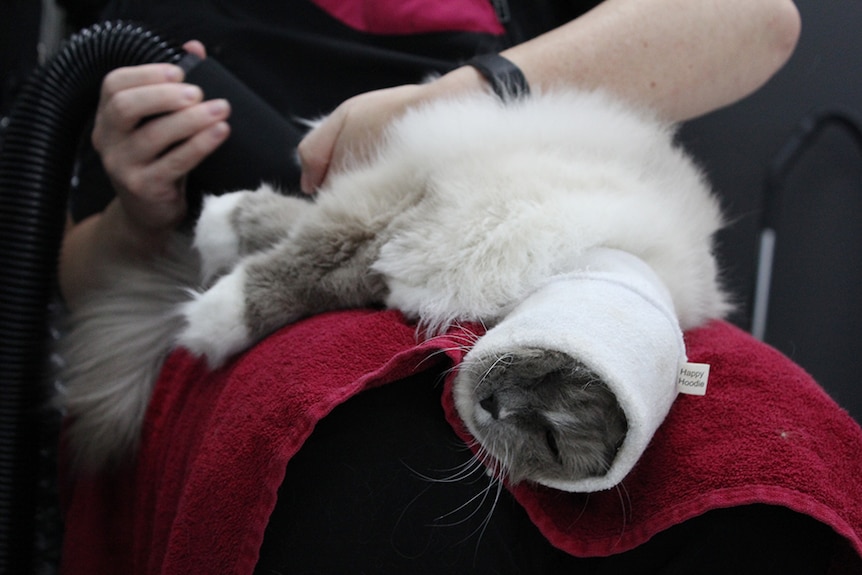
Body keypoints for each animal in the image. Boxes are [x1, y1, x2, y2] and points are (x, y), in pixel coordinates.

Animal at [57, 89, 728, 490]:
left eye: (548, 440)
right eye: (542, 375)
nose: (496, 405)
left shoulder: (409, 247)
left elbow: (322, 271)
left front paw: (219, 310)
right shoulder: (431, 208)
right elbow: (313, 244)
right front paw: (220, 283)